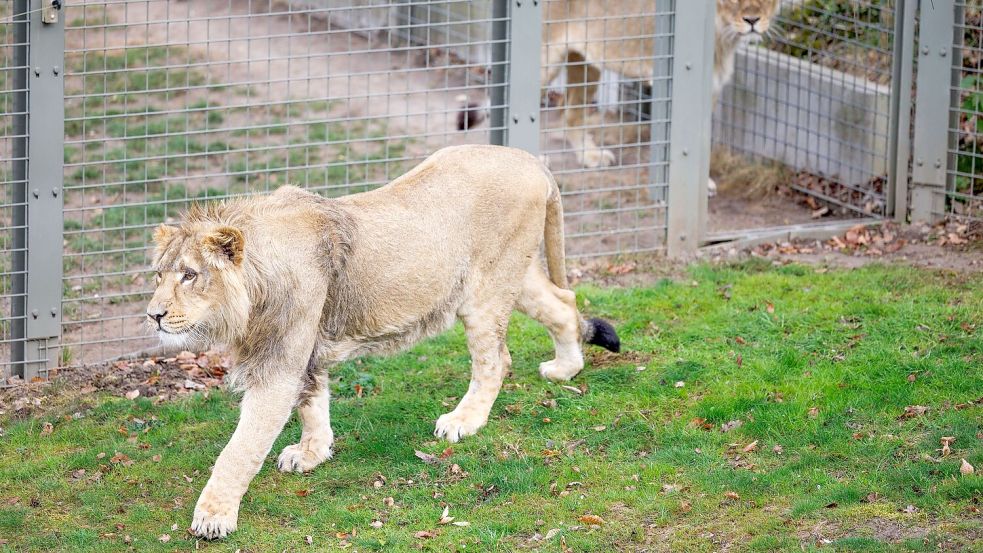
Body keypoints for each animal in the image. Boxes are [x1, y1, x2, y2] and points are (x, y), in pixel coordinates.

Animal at [145, 144, 621, 539]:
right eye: (158, 275)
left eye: (189, 275)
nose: (154, 315)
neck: (252, 294)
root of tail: (531, 160)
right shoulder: (307, 351)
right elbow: (313, 403)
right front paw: (313, 452)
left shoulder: (279, 363)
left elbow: (239, 449)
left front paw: (213, 517)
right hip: (508, 278)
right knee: (563, 302)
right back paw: (566, 367)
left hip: (486, 290)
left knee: (497, 359)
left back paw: (464, 420)